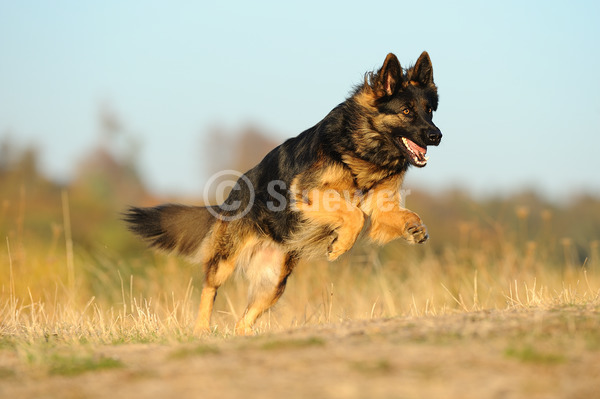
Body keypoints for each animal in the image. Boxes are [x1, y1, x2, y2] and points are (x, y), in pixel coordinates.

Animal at [125, 51, 440, 336]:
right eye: (406, 111)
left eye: (429, 110)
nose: (437, 135)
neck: (362, 147)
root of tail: (228, 200)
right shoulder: (309, 194)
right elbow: (353, 215)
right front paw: (339, 246)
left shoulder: (379, 206)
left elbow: (397, 215)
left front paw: (414, 229)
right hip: (227, 261)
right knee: (209, 287)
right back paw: (201, 329)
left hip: (274, 281)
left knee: (243, 321)